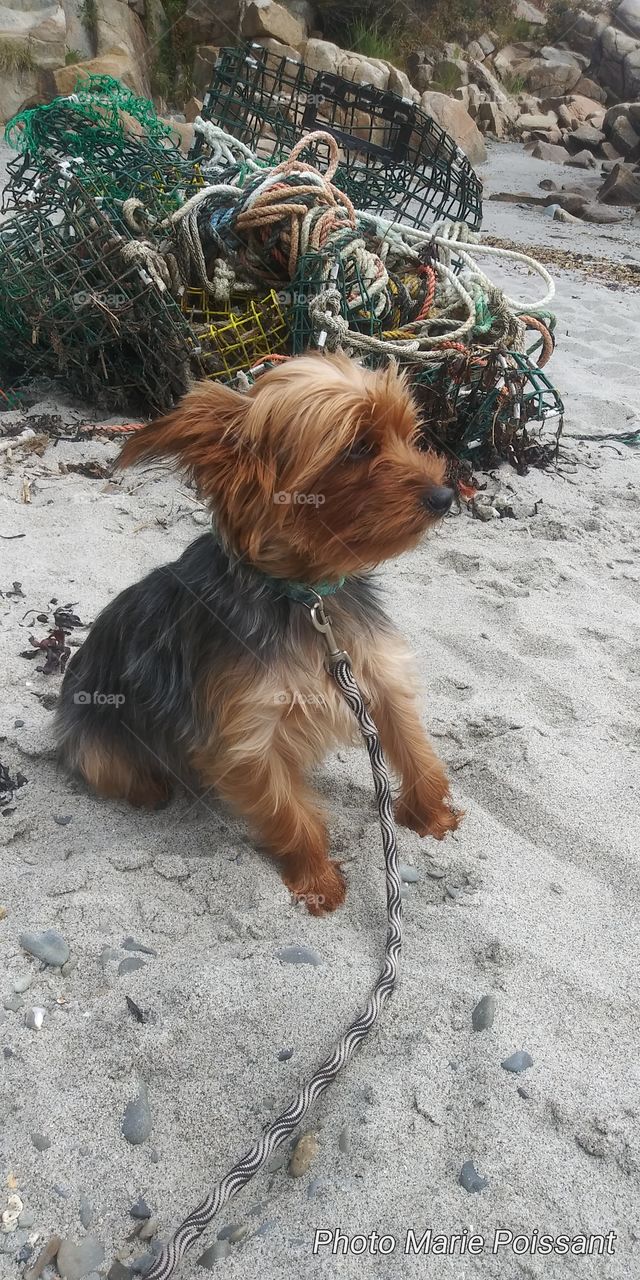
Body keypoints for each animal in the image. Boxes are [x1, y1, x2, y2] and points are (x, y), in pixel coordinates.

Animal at [55, 350, 458, 911]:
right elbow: (289, 813)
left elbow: (418, 750)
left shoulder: (374, 676)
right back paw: (152, 788)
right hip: (97, 742)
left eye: (410, 434)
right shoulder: (246, 739)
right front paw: (318, 880)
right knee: (117, 771)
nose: (445, 495)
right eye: (358, 448)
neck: (304, 597)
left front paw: (432, 815)